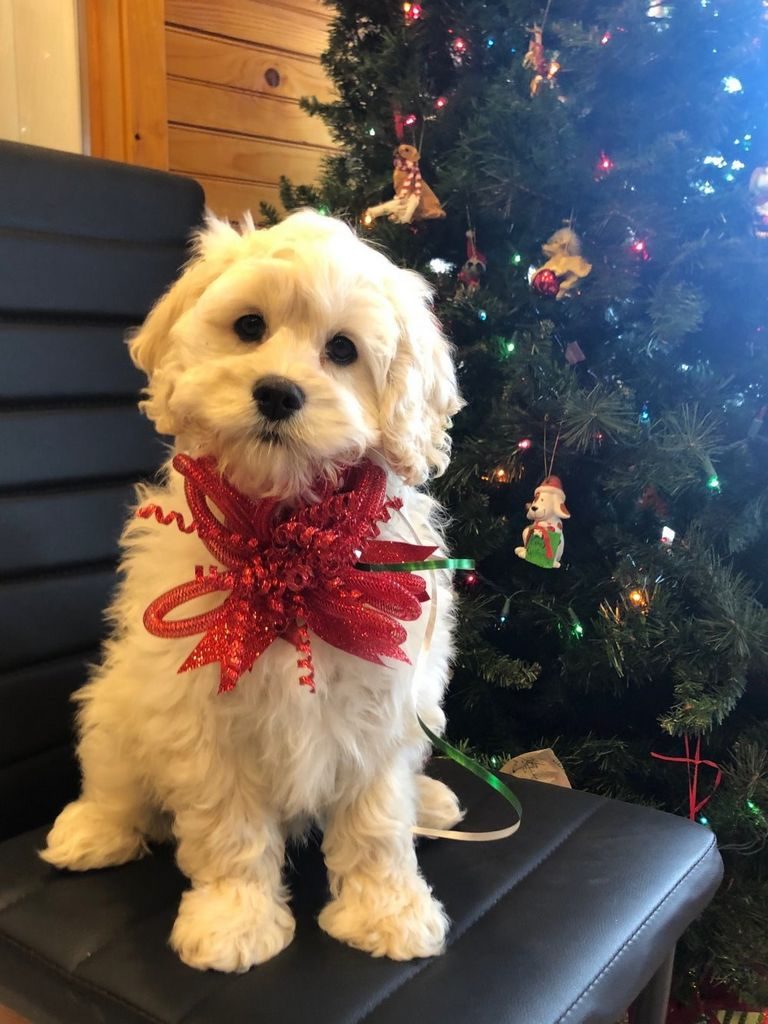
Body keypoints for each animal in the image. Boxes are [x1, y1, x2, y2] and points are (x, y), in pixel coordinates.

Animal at [41, 211, 466, 970]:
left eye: (342, 349)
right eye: (248, 326)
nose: (276, 392)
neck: (289, 542)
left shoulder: (382, 698)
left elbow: (378, 821)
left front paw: (386, 911)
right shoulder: (203, 717)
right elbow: (228, 828)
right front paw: (232, 920)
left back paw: (432, 803)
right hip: (119, 704)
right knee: (113, 776)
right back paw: (94, 830)